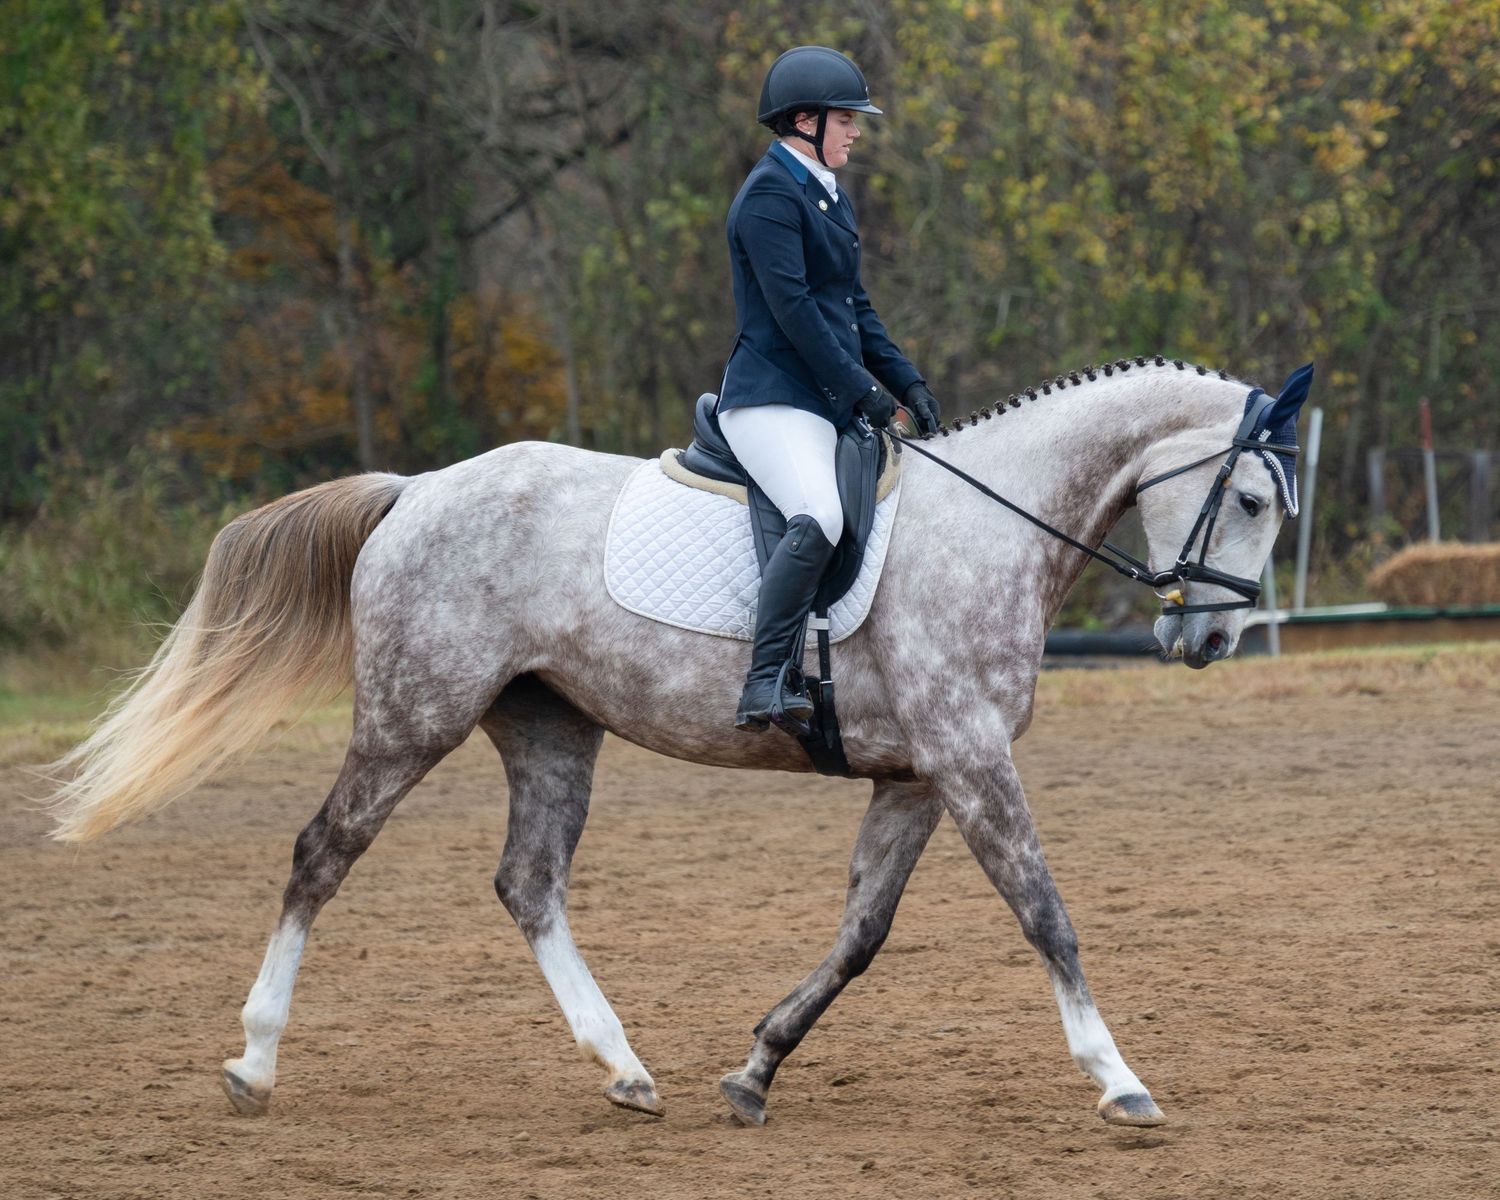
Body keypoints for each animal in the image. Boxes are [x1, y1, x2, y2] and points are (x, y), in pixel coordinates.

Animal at [45, 355, 1311, 1129]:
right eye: (1251, 501)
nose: (1211, 637)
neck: (992, 524)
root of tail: (415, 491)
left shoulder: (917, 775)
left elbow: (861, 934)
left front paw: (755, 1069)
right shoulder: (967, 757)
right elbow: (1046, 913)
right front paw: (1120, 1080)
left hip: (549, 727)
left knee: (528, 882)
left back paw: (624, 1069)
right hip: (414, 714)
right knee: (323, 855)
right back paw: (254, 1061)